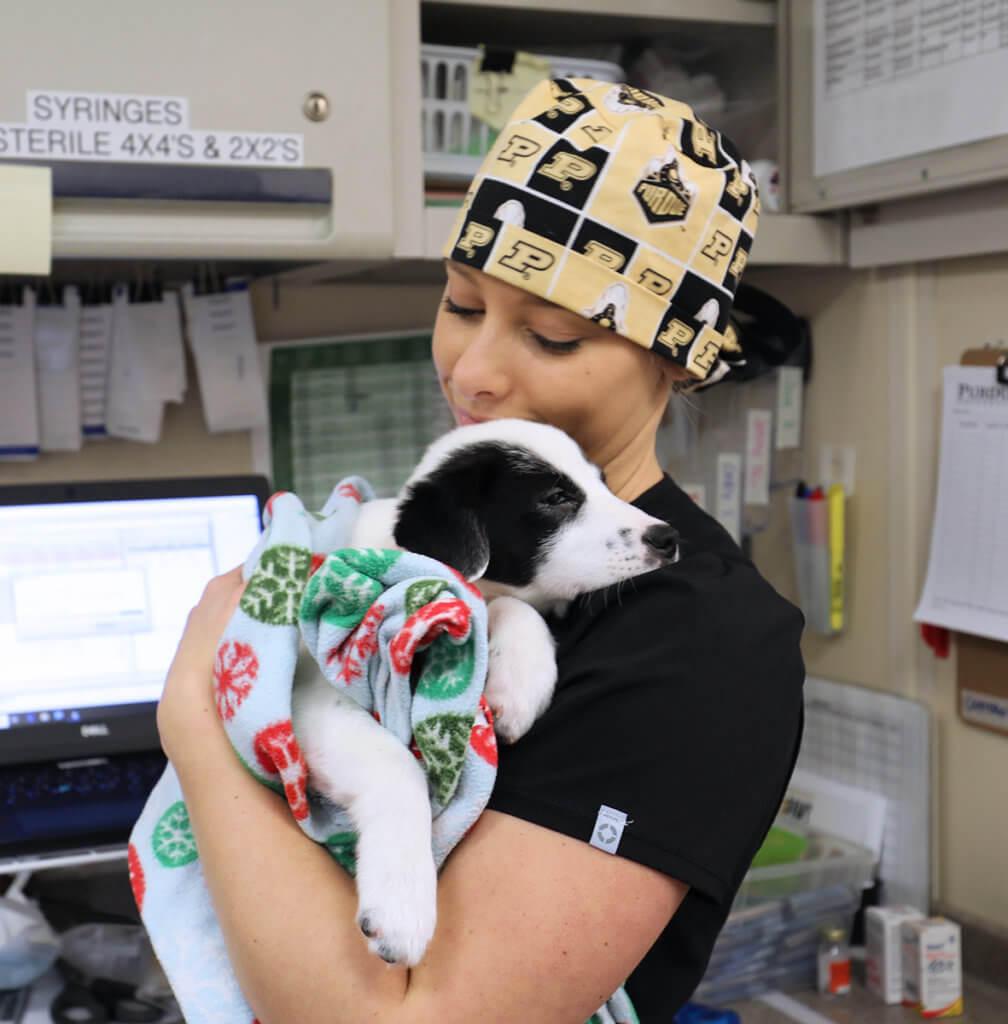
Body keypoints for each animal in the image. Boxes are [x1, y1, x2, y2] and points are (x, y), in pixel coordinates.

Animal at [286, 417, 676, 966]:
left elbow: (516, 608)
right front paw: (402, 899)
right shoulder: (310, 688)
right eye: (556, 497)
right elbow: (394, 764)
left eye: (603, 481)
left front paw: (520, 681)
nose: (668, 537)